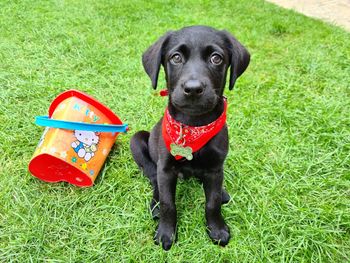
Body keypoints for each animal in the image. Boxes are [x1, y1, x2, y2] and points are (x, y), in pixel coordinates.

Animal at [131, 25, 249, 251]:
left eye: (216, 58)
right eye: (176, 57)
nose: (193, 89)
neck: (194, 125)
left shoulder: (215, 168)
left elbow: (212, 202)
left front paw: (217, 229)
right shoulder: (166, 168)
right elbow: (168, 203)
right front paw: (166, 233)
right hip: (137, 140)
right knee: (154, 179)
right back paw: (155, 205)